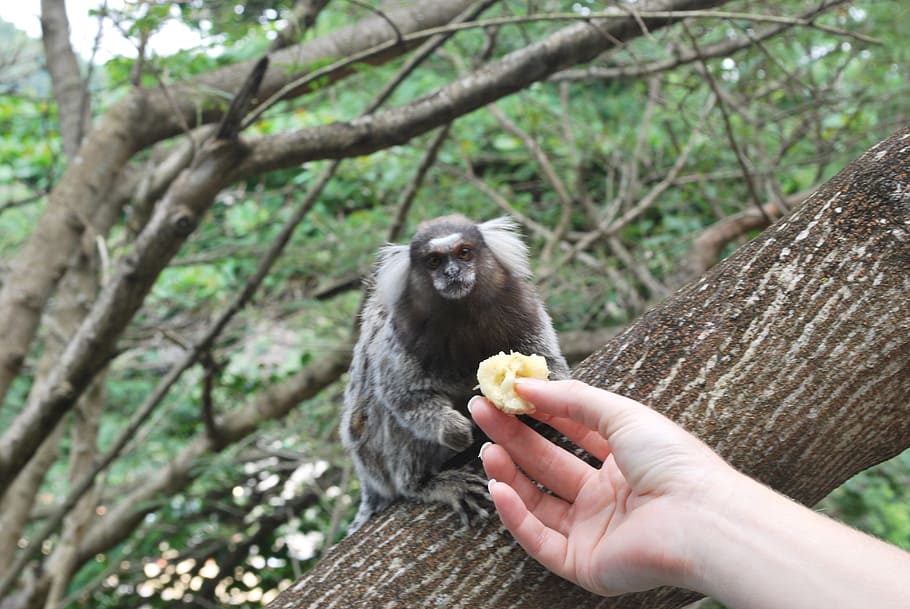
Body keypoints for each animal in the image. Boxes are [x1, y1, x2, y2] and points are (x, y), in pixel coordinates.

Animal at [340, 214, 569, 532]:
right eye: (434, 261)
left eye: (464, 253)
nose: (451, 273)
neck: (461, 313)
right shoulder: (402, 335)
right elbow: (403, 397)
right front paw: (456, 431)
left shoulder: (522, 308)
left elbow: (547, 358)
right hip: (373, 458)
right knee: (381, 412)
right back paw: (426, 483)